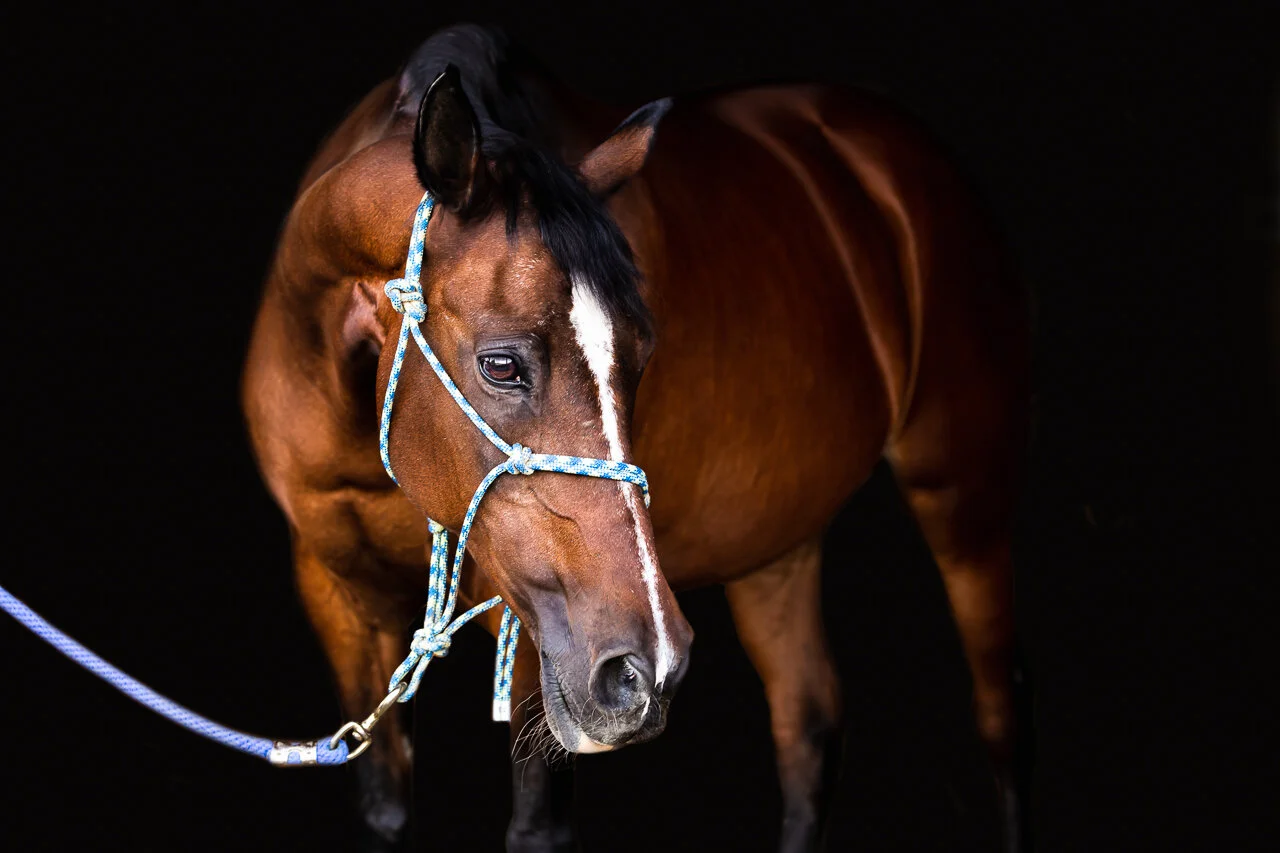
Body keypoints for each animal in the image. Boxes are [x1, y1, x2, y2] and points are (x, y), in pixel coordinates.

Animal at [241, 24, 1028, 853]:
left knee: (997, 711)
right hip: (775, 549)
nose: (648, 667)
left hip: (963, 496)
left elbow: (536, 823)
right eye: (500, 364)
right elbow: (385, 807)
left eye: (643, 354)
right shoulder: (338, 594)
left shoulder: (536, 631)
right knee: (808, 722)